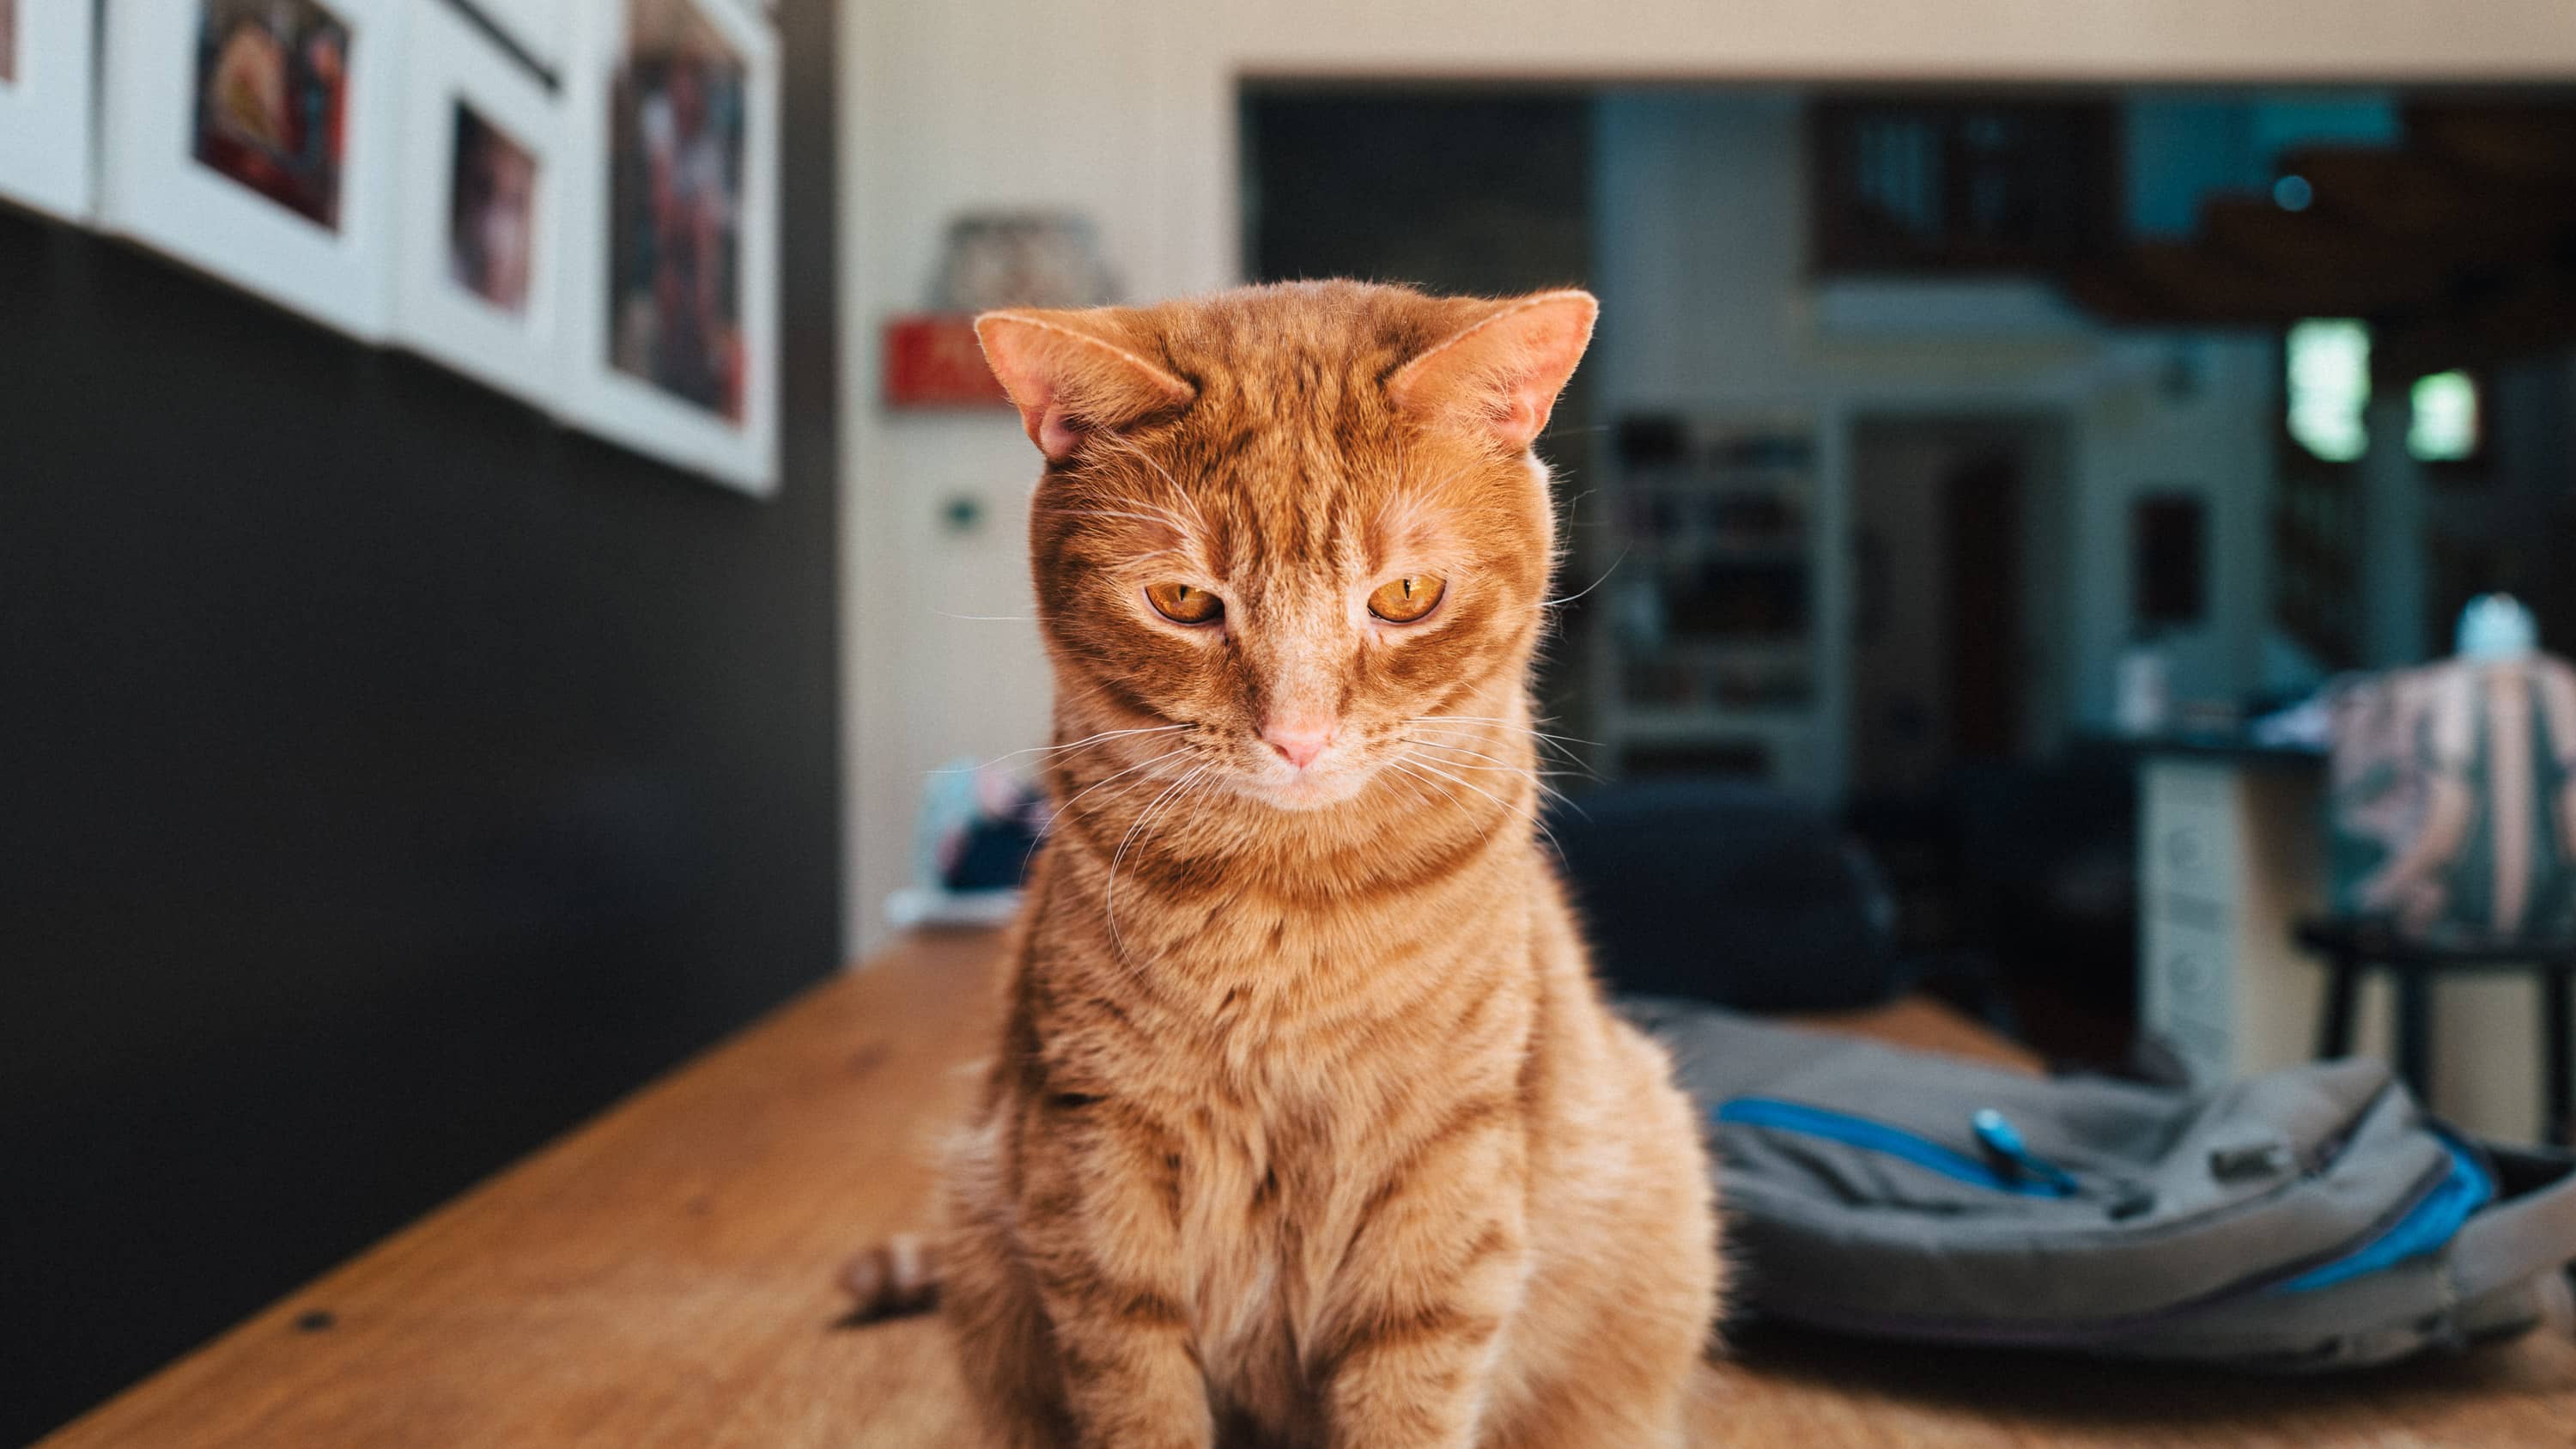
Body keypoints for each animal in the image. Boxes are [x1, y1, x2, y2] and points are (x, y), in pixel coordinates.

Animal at [855, 276, 1721, 1433]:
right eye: (1183, 601)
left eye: (1405, 597)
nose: (1298, 736)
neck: (1287, 912)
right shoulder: (1097, 1157)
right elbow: (1138, 1391)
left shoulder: (1441, 1168)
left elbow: (1408, 1393)